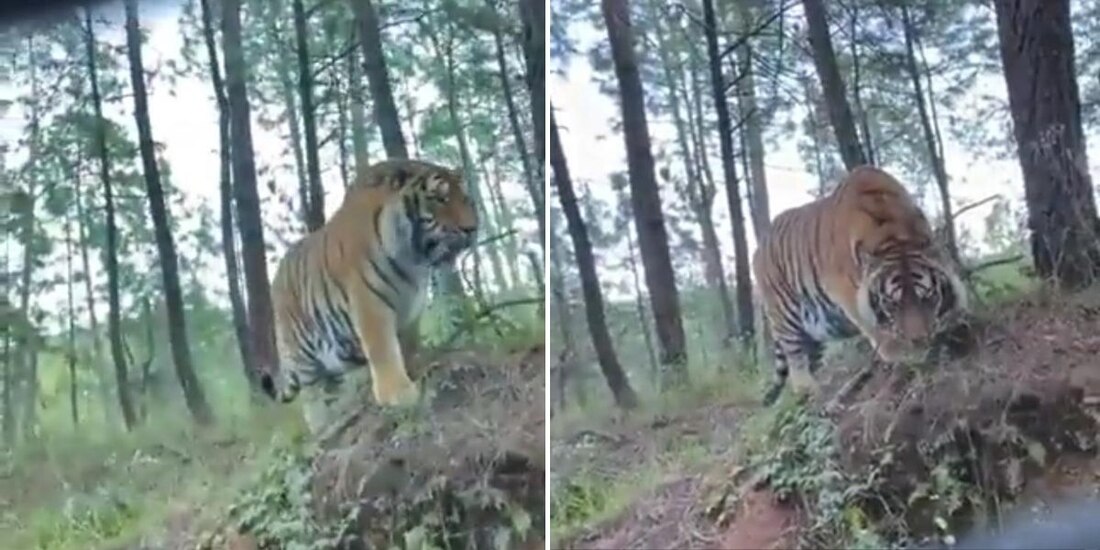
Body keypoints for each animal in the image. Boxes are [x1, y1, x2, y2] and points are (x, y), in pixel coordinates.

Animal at [260, 159, 478, 423]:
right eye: (440, 199)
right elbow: (383, 350)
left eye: (465, 198)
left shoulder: (411, 308)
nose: (472, 228)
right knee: (313, 397)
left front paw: (416, 369)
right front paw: (399, 395)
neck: (414, 259)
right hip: (303, 354)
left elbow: (407, 345)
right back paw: (326, 421)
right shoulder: (370, 304)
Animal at [754, 165, 968, 406]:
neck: (895, 236)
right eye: (892, 304)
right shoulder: (844, 290)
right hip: (784, 312)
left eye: (928, 298)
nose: (919, 340)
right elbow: (874, 326)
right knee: (795, 356)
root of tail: (759, 244)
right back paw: (808, 392)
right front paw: (902, 354)